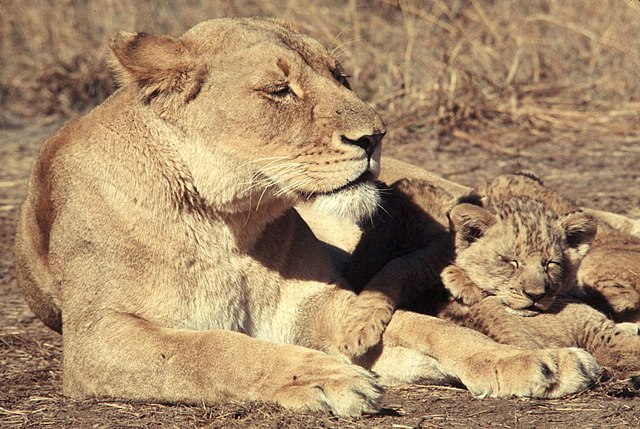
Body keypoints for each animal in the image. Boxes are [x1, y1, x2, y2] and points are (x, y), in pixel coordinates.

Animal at [15, 18, 602, 417]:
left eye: (341, 76)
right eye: (280, 90)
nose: (375, 135)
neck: (228, 222)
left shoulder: (317, 308)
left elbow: (430, 328)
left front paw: (536, 361)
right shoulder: (98, 337)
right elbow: (212, 349)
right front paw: (325, 375)